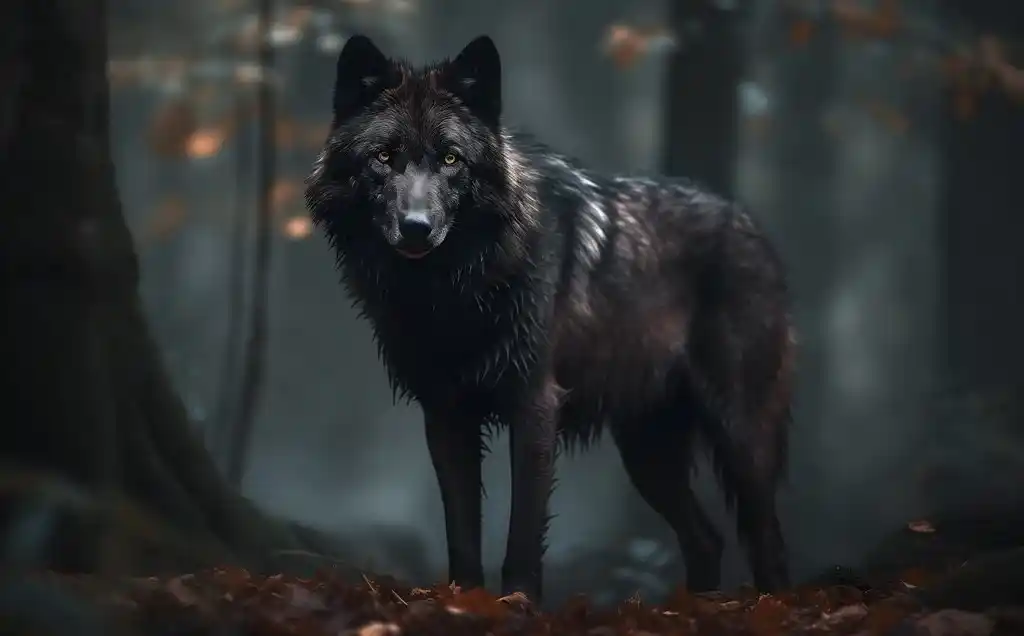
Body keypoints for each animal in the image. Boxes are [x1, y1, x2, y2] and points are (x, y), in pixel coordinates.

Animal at [305, 34, 795, 602]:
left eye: (451, 159)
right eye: (385, 157)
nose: (417, 227)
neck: (453, 293)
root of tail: (753, 227)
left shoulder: (535, 405)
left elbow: (522, 531)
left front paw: (519, 603)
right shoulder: (447, 412)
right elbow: (462, 531)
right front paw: (465, 603)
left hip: (738, 436)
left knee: (767, 540)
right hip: (646, 454)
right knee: (707, 539)